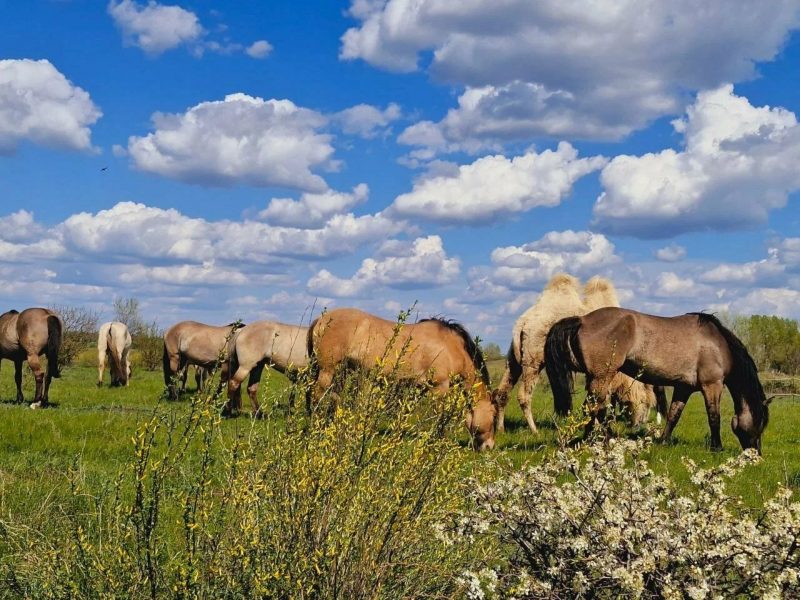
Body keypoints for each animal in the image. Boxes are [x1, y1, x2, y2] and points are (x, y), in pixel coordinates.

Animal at [306, 308, 497, 451]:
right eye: (494, 415)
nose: (489, 446)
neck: (450, 346)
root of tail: (320, 319)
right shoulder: (439, 387)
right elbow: (438, 415)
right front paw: (436, 439)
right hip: (327, 370)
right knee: (317, 397)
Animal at [544, 307, 770, 453]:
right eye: (760, 422)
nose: (756, 455)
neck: (719, 345)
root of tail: (582, 319)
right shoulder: (712, 385)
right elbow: (714, 417)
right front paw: (717, 448)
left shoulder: (683, 388)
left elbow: (673, 415)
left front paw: (663, 441)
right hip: (602, 377)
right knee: (594, 408)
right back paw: (601, 441)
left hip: (596, 378)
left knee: (592, 408)